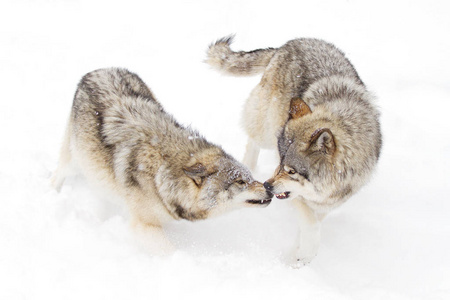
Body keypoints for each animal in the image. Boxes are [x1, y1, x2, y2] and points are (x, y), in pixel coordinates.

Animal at [51, 68, 272, 251]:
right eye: (240, 182)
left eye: (250, 177)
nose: (269, 188)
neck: (161, 173)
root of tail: (97, 70)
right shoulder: (144, 226)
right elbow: (170, 251)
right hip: (74, 160)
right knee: (58, 174)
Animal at [206, 37, 382, 264]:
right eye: (280, 162)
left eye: (290, 171)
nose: (267, 185)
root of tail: (289, 44)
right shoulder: (300, 199)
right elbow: (311, 225)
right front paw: (304, 255)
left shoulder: (325, 204)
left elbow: (309, 227)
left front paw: (297, 257)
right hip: (267, 130)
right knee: (252, 141)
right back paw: (248, 168)